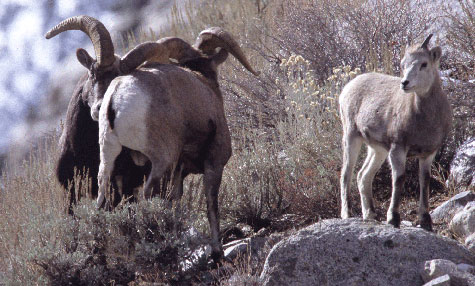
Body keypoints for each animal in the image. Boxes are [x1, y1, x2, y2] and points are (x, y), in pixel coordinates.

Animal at [47, 15, 260, 262]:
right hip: (160, 161)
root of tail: (115, 99)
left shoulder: (177, 174)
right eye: (92, 75)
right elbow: (211, 205)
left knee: (103, 202)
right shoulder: (214, 163)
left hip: (109, 161)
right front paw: (217, 255)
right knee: (149, 195)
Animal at [340, 34, 452, 231]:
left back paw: (370, 215)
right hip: (351, 137)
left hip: (377, 150)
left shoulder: (428, 154)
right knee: (346, 174)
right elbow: (399, 178)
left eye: (424, 64)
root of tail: (347, 88)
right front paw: (393, 218)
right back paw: (347, 215)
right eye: (403, 64)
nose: (405, 83)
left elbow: (424, 180)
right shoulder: (397, 149)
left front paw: (425, 222)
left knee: (363, 176)